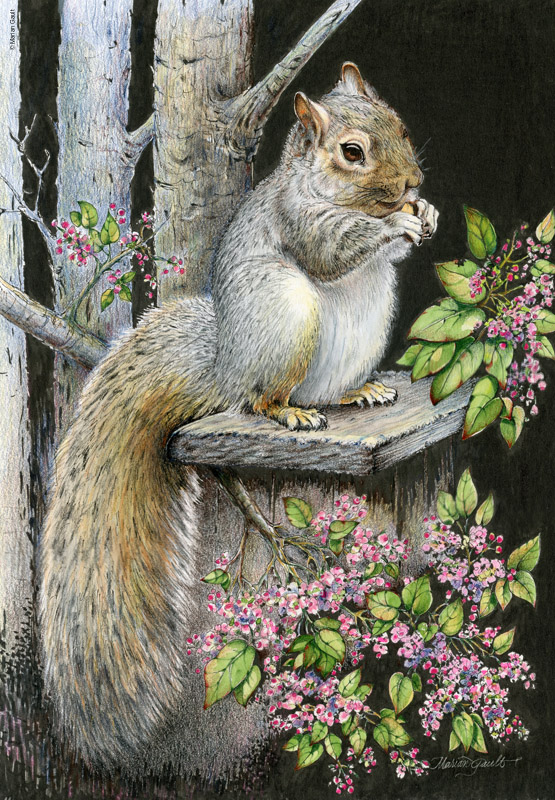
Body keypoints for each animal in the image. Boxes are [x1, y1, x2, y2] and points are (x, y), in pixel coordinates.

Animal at [38, 63, 438, 776]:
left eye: (399, 124)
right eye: (352, 152)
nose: (411, 184)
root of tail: (224, 366)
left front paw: (424, 214)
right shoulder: (300, 222)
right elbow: (334, 248)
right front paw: (396, 225)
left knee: (326, 388)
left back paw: (356, 395)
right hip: (284, 320)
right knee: (259, 400)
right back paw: (292, 413)